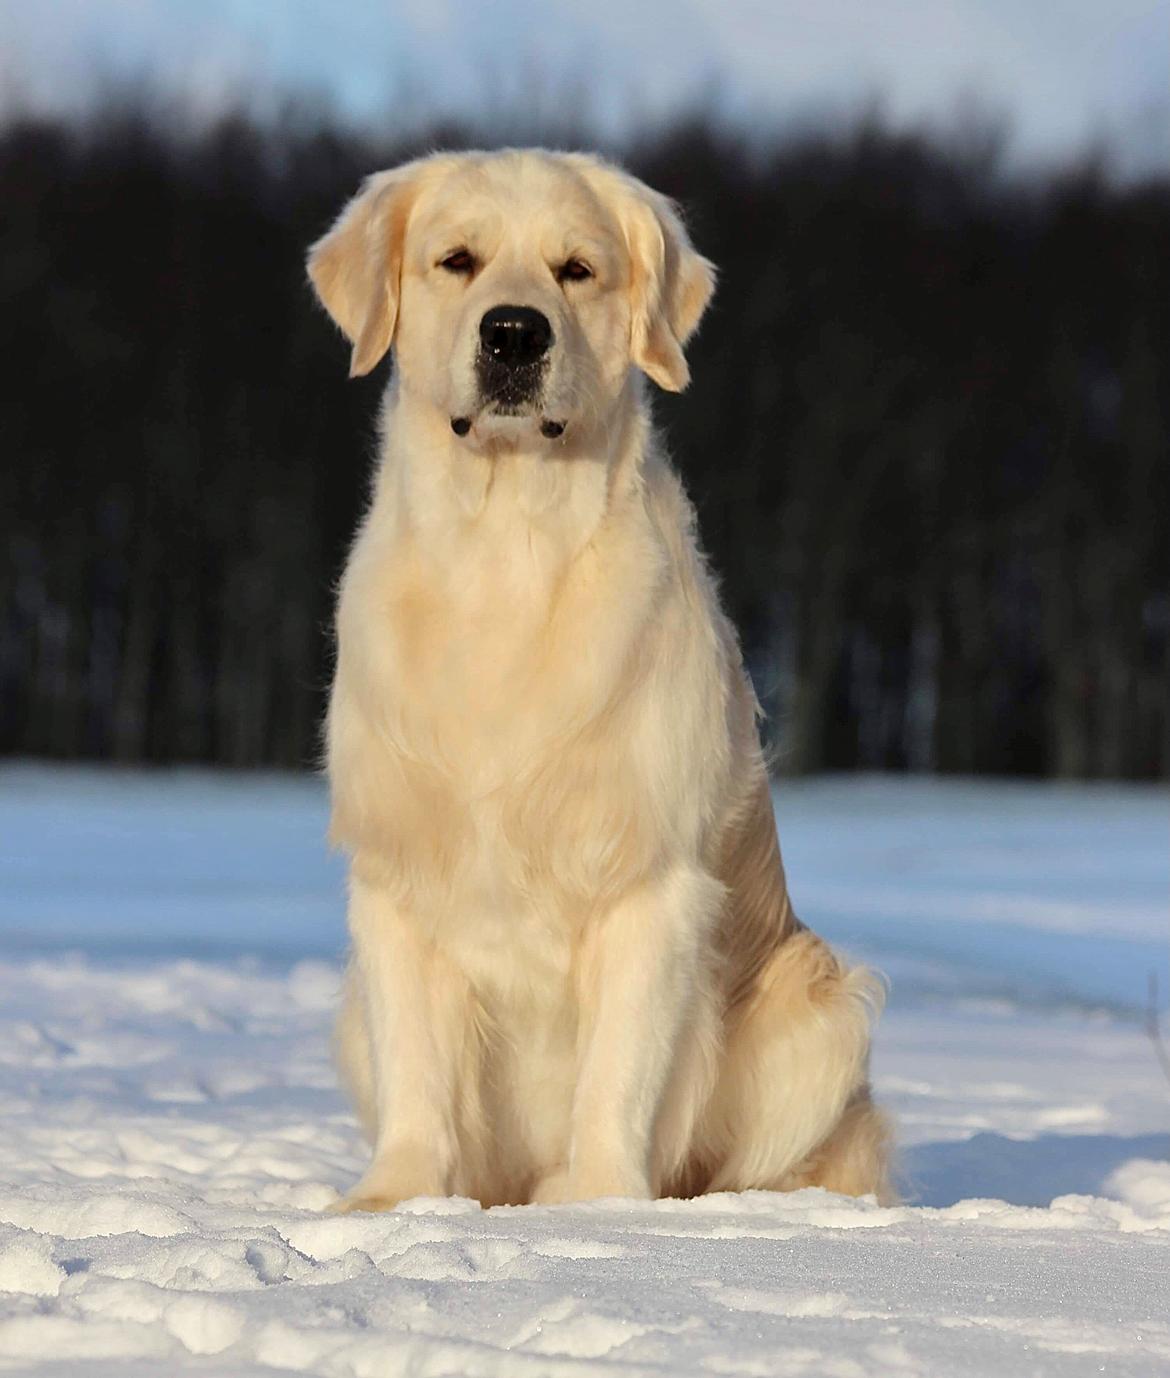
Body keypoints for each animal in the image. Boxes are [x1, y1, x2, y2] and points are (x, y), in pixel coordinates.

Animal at [305, 145, 887, 1212]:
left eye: (575, 269)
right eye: (457, 260)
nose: (514, 331)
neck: (505, 552)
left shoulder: (647, 880)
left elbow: (620, 1066)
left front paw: (601, 1204)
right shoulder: (397, 874)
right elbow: (417, 1067)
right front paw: (393, 1196)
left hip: (819, 1013)